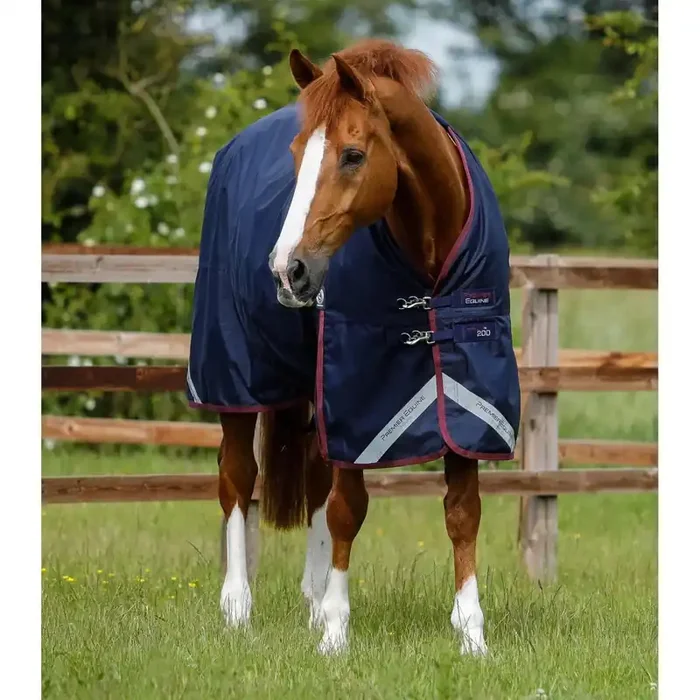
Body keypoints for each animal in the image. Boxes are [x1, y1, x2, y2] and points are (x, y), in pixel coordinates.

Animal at [186, 39, 520, 656]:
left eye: (352, 155)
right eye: (298, 153)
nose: (286, 269)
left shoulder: (465, 396)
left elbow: (462, 512)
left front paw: (472, 634)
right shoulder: (360, 395)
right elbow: (349, 510)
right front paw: (337, 633)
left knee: (316, 480)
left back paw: (312, 602)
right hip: (234, 375)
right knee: (237, 479)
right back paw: (238, 607)